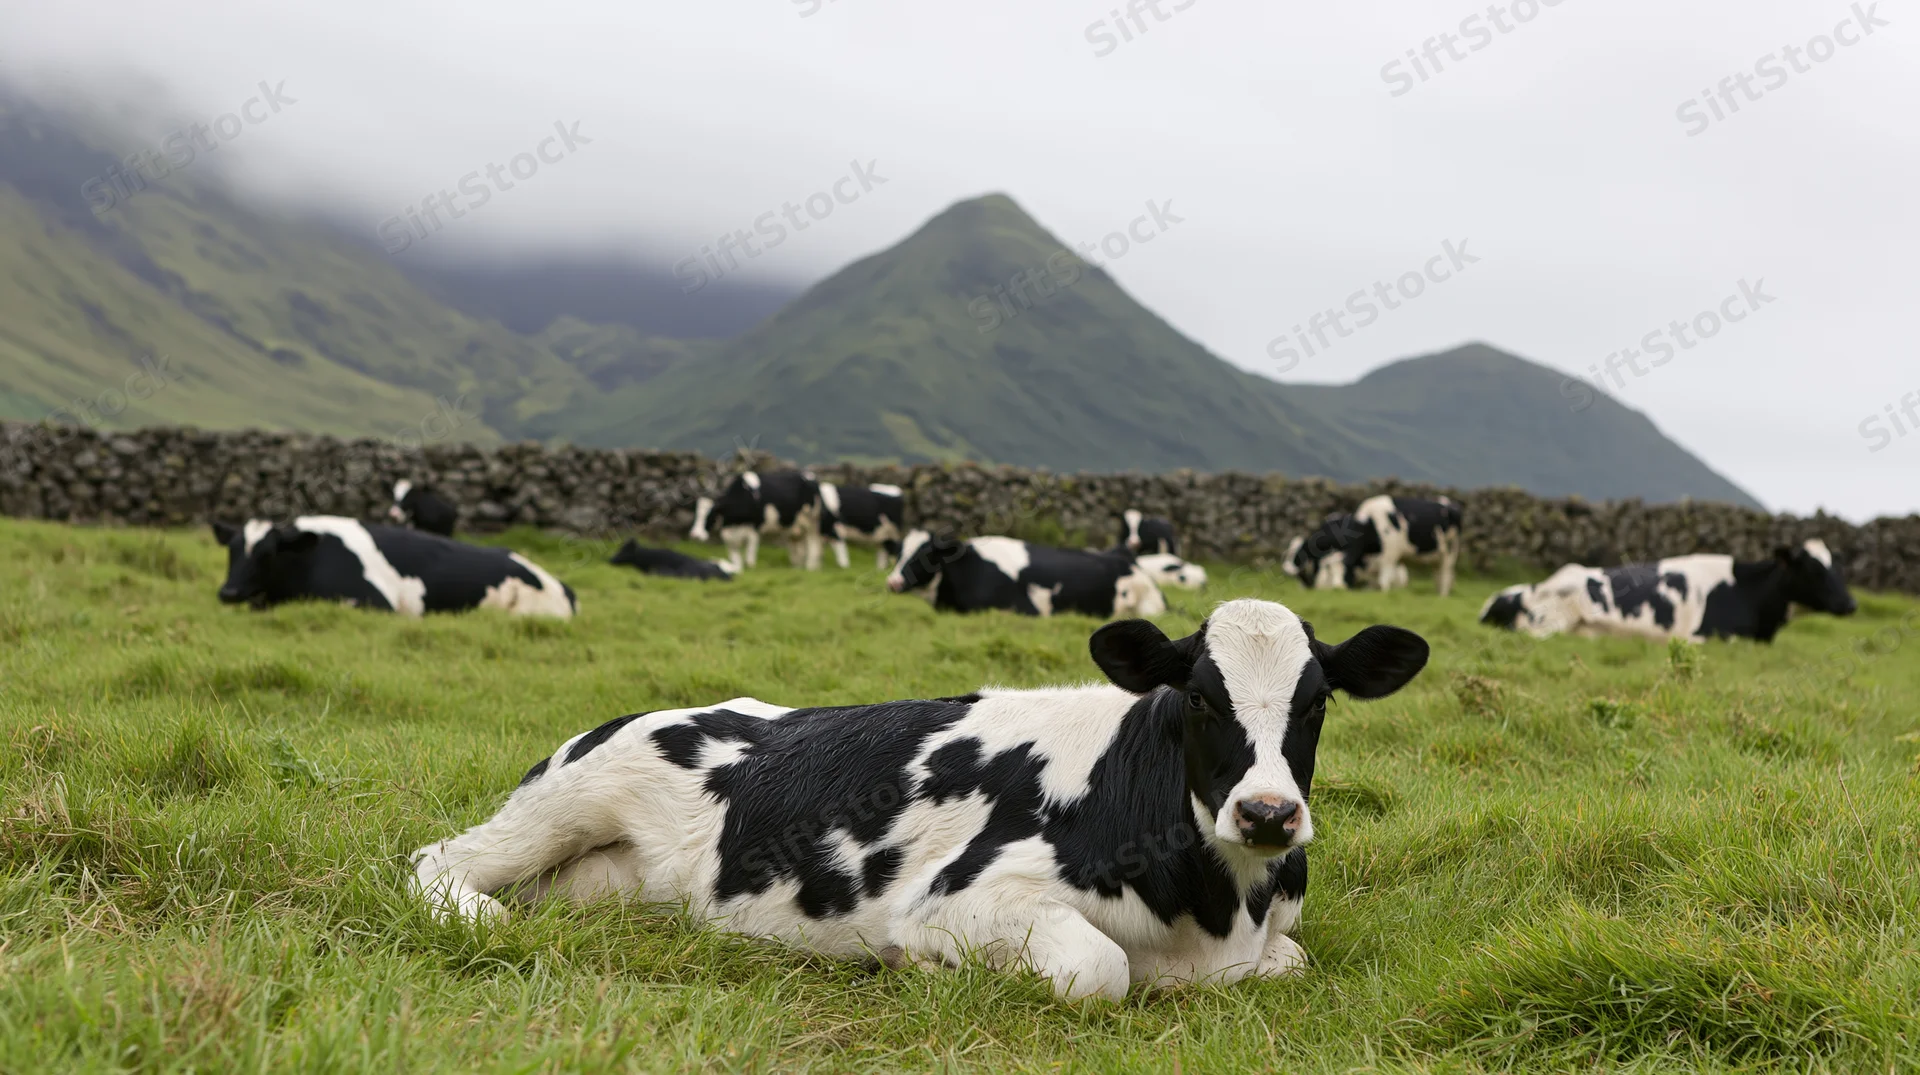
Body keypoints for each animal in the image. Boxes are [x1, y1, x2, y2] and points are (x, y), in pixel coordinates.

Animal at [410, 598, 1431, 1001]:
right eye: (1201, 698)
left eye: (1317, 701)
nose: (1267, 813)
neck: (1218, 908)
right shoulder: (962, 894)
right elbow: (1098, 967)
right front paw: (931, 969)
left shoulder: (1267, 938)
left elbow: (1291, 960)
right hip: (572, 797)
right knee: (441, 860)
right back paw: (477, 916)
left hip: (610, 879)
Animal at [689, 470, 823, 572]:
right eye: (696, 513)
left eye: (710, 514)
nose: (695, 535)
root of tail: (810, 476)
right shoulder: (729, 536)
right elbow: (736, 561)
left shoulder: (754, 530)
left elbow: (749, 560)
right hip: (795, 526)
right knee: (799, 546)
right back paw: (798, 567)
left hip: (813, 521)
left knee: (814, 543)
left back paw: (811, 567)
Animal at [1283, 496, 1463, 597]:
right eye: (1329, 569)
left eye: (1297, 555)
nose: (1339, 588)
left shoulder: (1390, 553)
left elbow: (1384, 579)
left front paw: (1383, 593)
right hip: (1436, 555)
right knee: (1438, 573)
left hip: (1450, 550)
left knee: (1446, 573)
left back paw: (1443, 595)